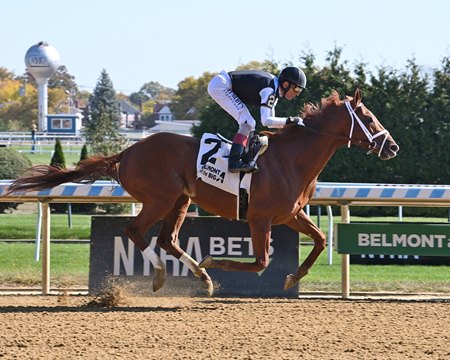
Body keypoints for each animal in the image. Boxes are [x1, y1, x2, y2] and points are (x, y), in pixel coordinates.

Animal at [8, 88, 400, 294]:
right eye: (368, 118)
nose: (393, 147)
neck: (291, 159)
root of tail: (129, 151)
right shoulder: (260, 219)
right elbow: (261, 261)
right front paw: (215, 260)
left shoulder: (290, 214)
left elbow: (319, 239)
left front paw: (293, 277)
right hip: (160, 198)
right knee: (136, 231)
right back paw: (170, 273)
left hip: (181, 200)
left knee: (167, 240)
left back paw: (200, 276)